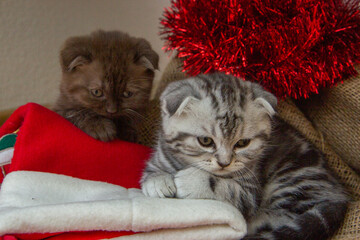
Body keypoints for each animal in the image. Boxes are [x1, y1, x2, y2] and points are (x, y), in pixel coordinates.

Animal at [141, 73, 348, 240]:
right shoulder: (162, 152)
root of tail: (339, 194)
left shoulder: (251, 190)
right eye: (205, 141)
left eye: (242, 143)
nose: (224, 163)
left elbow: (231, 192)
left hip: (292, 181)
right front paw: (157, 180)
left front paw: (193, 181)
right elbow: (153, 168)